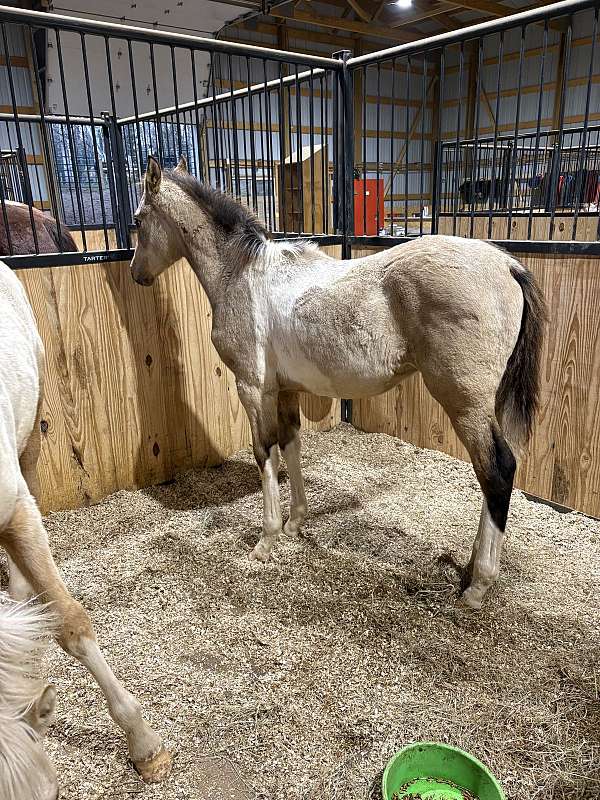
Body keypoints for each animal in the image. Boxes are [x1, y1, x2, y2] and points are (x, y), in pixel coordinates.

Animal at [130, 156, 546, 611]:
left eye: (137, 220)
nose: (136, 274)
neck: (241, 274)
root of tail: (507, 265)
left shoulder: (253, 389)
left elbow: (264, 454)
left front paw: (265, 542)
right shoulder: (285, 390)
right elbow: (291, 446)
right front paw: (294, 524)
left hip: (465, 403)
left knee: (497, 470)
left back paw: (478, 586)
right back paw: (470, 568)